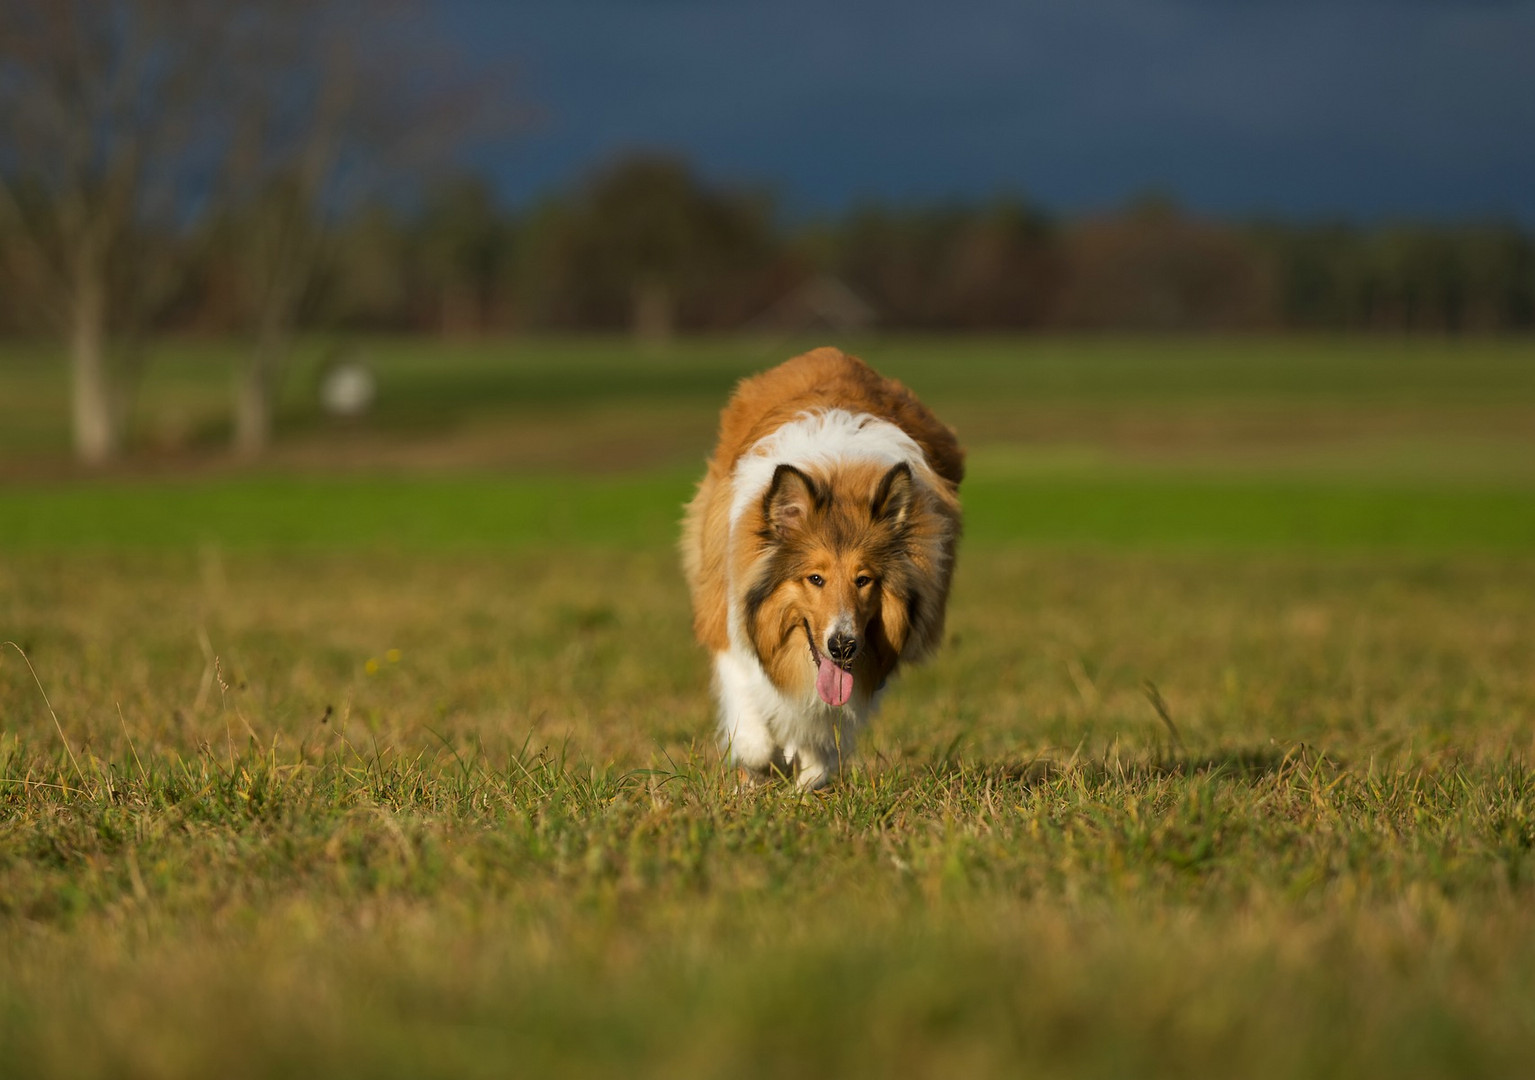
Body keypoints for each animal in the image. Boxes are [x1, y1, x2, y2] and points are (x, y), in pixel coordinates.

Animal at [681, 349, 957, 791]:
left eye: (864, 580)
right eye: (815, 578)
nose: (843, 645)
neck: (838, 475)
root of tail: (830, 352)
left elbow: (826, 726)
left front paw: (810, 771)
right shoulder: (728, 617)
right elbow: (753, 732)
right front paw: (761, 766)